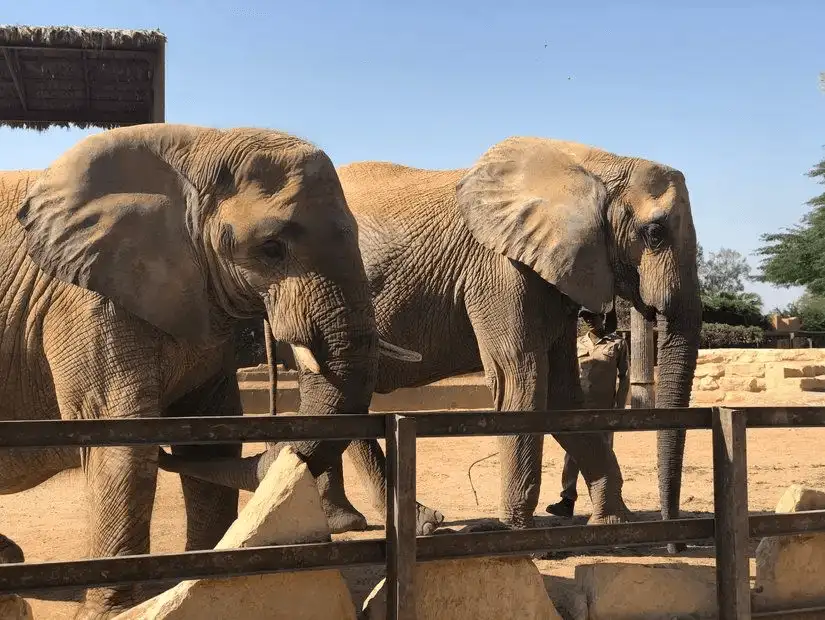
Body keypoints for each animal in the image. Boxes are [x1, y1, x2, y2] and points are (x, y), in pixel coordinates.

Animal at [0, 122, 418, 620]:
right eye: (271, 248)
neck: (197, 148)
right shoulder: (82, 299)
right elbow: (119, 438)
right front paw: (114, 614)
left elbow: (211, 435)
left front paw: (202, 582)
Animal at [163, 134, 700, 548]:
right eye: (654, 232)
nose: (676, 542)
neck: (594, 162)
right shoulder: (498, 270)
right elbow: (522, 382)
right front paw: (518, 539)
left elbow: (565, 397)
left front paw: (616, 527)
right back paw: (402, 525)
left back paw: (360, 523)